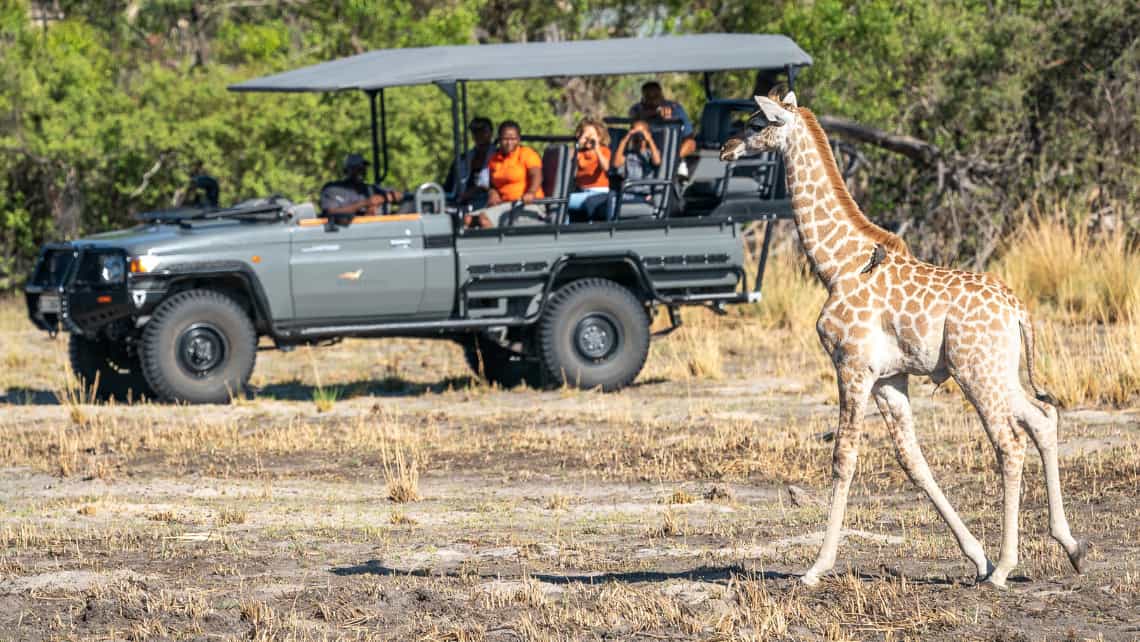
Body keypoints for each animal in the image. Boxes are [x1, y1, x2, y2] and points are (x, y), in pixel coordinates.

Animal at [720, 88, 1085, 588]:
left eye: (757, 123)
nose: (726, 149)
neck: (837, 265)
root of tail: (1017, 311)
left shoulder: (851, 367)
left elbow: (844, 458)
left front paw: (816, 567)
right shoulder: (889, 379)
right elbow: (912, 460)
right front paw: (975, 556)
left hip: (975, 372)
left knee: (1009, 442)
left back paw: (1006, 569)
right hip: (999, 370)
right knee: (1042, 418)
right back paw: (1070, 547)